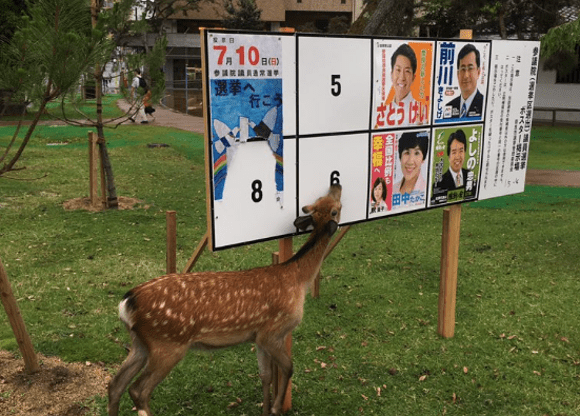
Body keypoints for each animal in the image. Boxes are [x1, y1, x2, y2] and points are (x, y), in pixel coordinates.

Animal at [109, 184, 342, 416]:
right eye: (336, 209)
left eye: (322, 201)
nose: (336, 184)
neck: (297, 278)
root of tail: (127, 304)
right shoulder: (273, 331)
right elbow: (289, 367)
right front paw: (276, 407)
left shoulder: (258, 336)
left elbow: (265, 376)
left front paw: (266, 410)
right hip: (167, 344)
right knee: (138, 390)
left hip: (140, 343)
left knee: (115, 385)